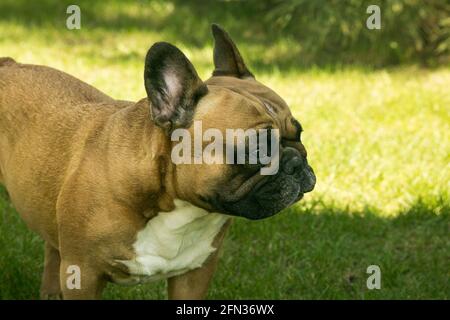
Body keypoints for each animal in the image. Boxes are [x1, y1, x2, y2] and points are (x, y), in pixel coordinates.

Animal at [0, 25, 316, 300]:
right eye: (256, 148)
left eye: (299, 134)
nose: (296, 162)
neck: (176, 204)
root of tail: (9, 64)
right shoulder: (82, 274)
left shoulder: (195, 274)